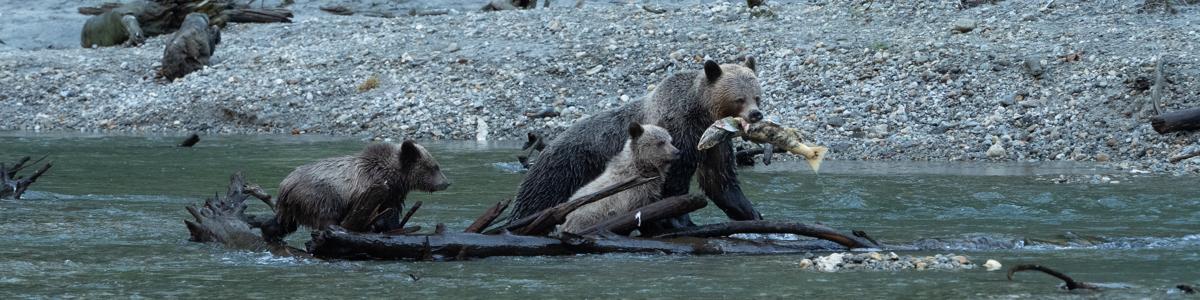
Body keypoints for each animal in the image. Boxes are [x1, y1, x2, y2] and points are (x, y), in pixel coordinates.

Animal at [261, 139, 451, 241]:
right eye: (434, 167)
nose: (446, 183)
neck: (394, 176)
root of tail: (285, 185)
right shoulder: (379, 190)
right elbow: (387, 215)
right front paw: (389, 227)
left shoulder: (392, 194)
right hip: (320, 196)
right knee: (326, 217)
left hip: (292, 207)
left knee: (283, 223)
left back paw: (269, 232)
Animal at [511, 59, 763, 231]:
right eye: (739, 98)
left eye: (757, 96)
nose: (756, 114)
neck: (701, 115)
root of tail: (543, 153)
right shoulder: (678, 134)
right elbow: (675, 184)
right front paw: (681, 220)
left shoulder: (714, 144)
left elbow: (720, 181)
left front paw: (751, 213)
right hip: (562, 173)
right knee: (537, 200)